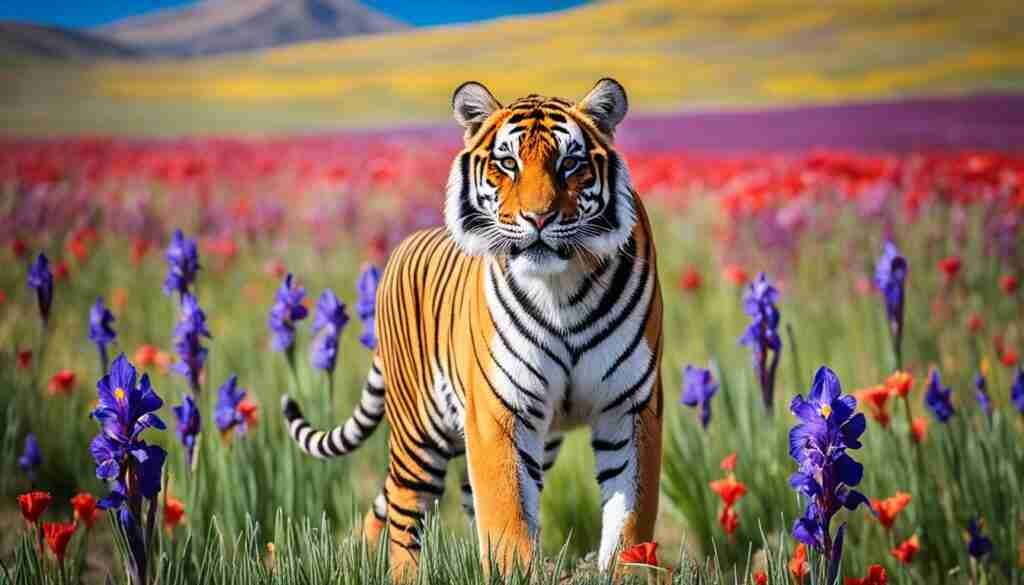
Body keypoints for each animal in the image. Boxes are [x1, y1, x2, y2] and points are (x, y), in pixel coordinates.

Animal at [282, 78, 663, 578]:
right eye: (508, 163)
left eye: (570, 163)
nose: (538, 218)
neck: (562, 290)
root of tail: (400, 247)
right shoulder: (500, 411)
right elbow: (507, 519)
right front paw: (517, 573)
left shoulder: (630, 406)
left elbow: (630, 521)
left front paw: (625, 570)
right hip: (418, 436)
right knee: (404, 516)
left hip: (534, 444)